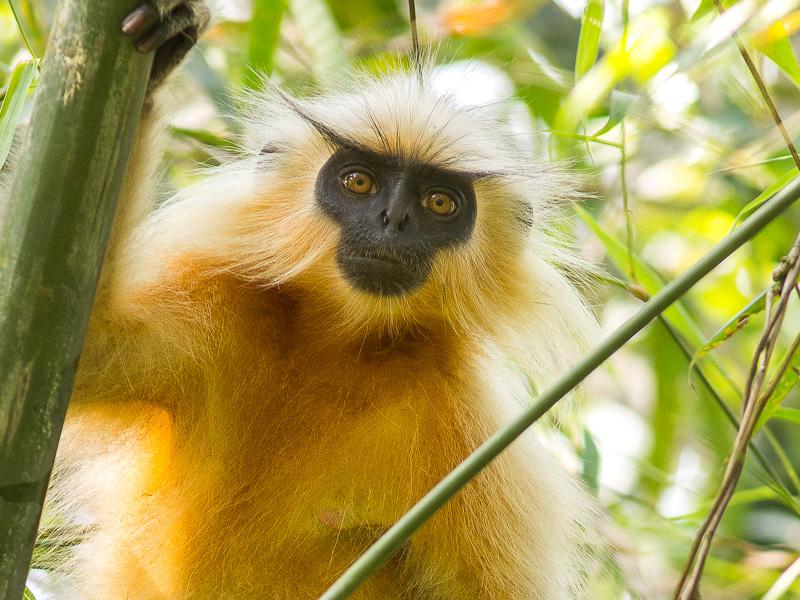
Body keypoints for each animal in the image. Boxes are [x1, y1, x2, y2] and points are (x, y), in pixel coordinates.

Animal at [7, 2, 600, 596]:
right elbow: (70, 347)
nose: (393, 220)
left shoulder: (474, 435)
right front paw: (157, 62)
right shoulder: (225, 316)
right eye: (358, 182)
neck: (340, 347)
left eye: (439, 203)